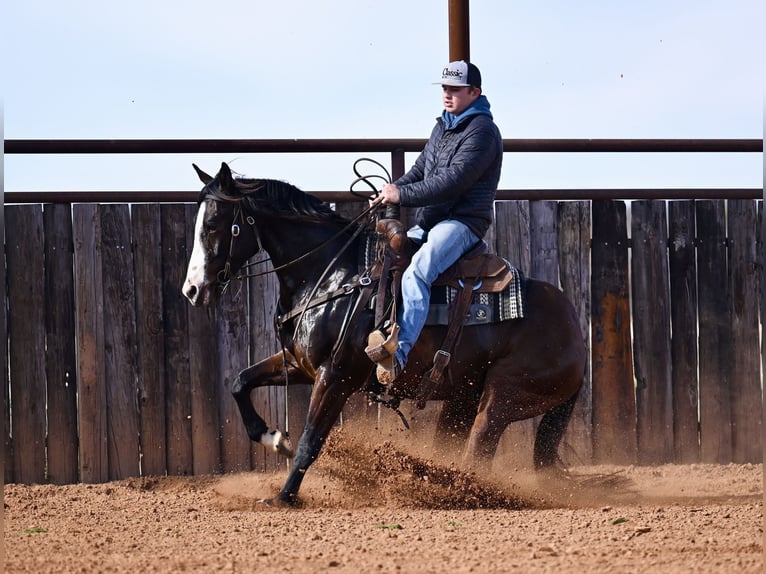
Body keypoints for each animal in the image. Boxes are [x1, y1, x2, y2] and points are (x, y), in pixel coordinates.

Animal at [182, 162, 586, 505]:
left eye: (214, 224)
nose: (192, 290)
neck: (332, 276)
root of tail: (573, 330)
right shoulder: (300, 365)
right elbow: (241, 382)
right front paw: (273, 437)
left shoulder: (336, 376)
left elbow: (311, 440)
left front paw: (285, 496)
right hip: (462, 398)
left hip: (503, 398)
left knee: (478, 453)